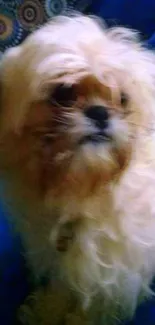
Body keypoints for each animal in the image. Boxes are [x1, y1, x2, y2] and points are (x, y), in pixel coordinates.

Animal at [0, 13, 155, 324]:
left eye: (122, 99)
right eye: (63, 93)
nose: (100, 113)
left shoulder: (117, 277)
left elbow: (94, 308)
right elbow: (62, 288)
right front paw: (47, 311)